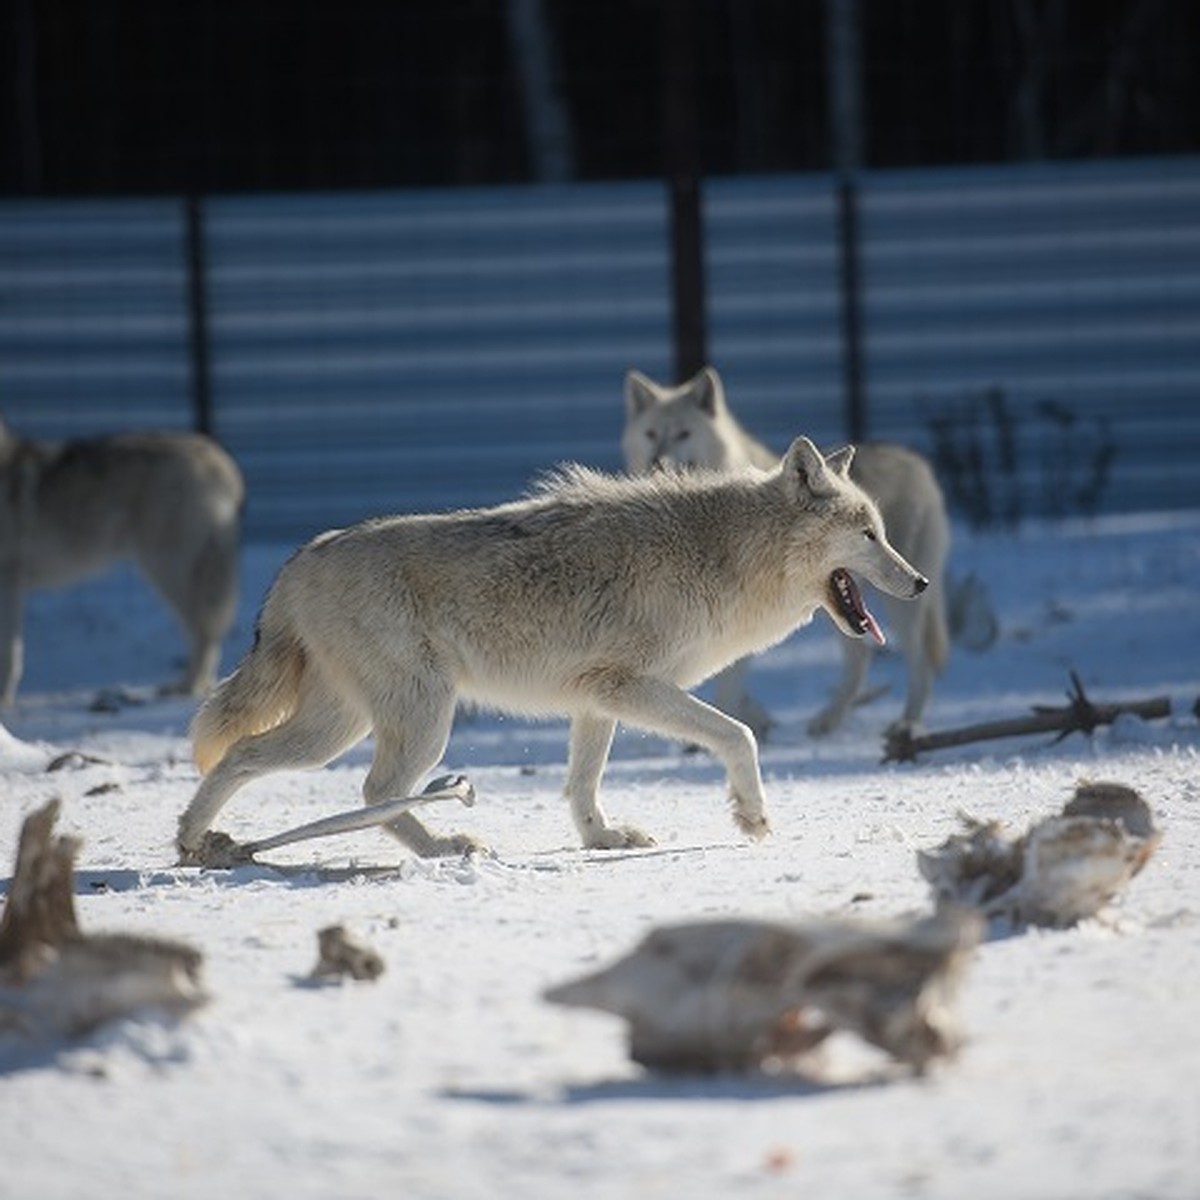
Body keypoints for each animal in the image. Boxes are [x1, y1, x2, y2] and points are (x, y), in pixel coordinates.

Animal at [0, 420, 243, 700]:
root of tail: (215, 455)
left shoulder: (9, 584)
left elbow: (9, 653)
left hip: (169, 570)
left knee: (202, 630)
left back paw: (188, 686)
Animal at [177, 436, 926, 859]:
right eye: (868, 535)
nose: (920, 582)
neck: (724, 556)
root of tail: (301, 558)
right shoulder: (632, 687)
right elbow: (738, 734)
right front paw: (752, 816)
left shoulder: (596, 699)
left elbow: (582, 784)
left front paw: (602, 840)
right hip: (420, 723)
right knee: (374, 790)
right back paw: (444, 847)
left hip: (337, 730)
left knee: (242, 756)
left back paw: (194, 843)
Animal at [624, 367, 950, 739]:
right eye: (651, 433)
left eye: (683, 433)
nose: (656, 463)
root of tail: (917, 462)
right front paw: (759, 718)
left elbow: (726, 688)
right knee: (862, 658)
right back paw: (829, 720)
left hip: (901, 606)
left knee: (921, 664)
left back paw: (907, 724)